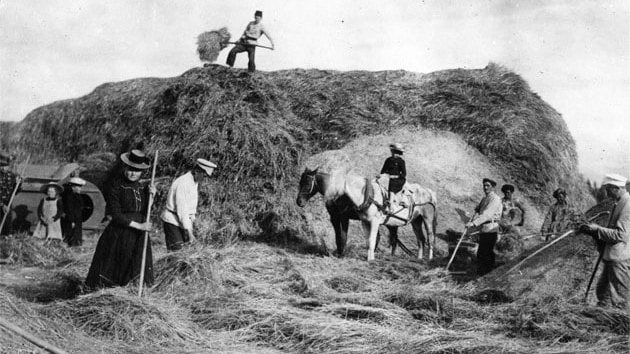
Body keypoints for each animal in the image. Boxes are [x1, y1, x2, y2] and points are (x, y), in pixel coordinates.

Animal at [298, 167, 440, 262]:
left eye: (307, 183)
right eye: (300, 182)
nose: (299, 201)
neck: (367, 196)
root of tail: (429, 192)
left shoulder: (345, 218)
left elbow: (345, 237)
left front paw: (344, 254)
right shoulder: (337, 218)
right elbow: (342, 237)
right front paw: (340, 253)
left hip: (427, 220)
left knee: (430, 238)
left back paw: (429, 258)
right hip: (415, 221)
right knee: (419, 239)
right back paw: (417, 258)